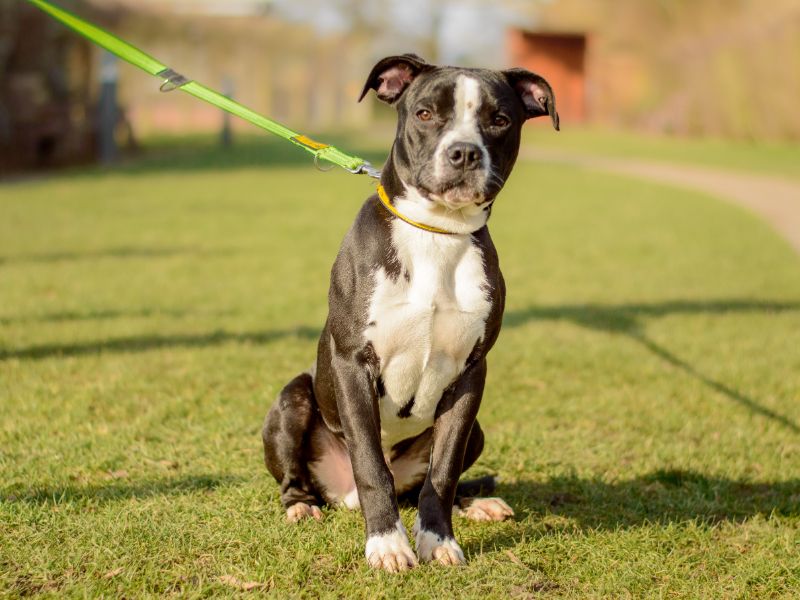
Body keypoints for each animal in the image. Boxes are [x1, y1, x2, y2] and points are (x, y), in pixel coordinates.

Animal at [262, 53, 558, 572]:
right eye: (424, 113)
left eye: (499, 120)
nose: (464, 153)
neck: (435, 232)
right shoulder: (353, 365)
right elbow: (370, 464)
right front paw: (387, 544)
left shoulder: (470, 375)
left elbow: (442, 472)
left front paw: (438, 540)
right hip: (292, 398)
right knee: (305, 479)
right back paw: (301, 506)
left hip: (477, 429)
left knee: (429, 484)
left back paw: (476, 502)